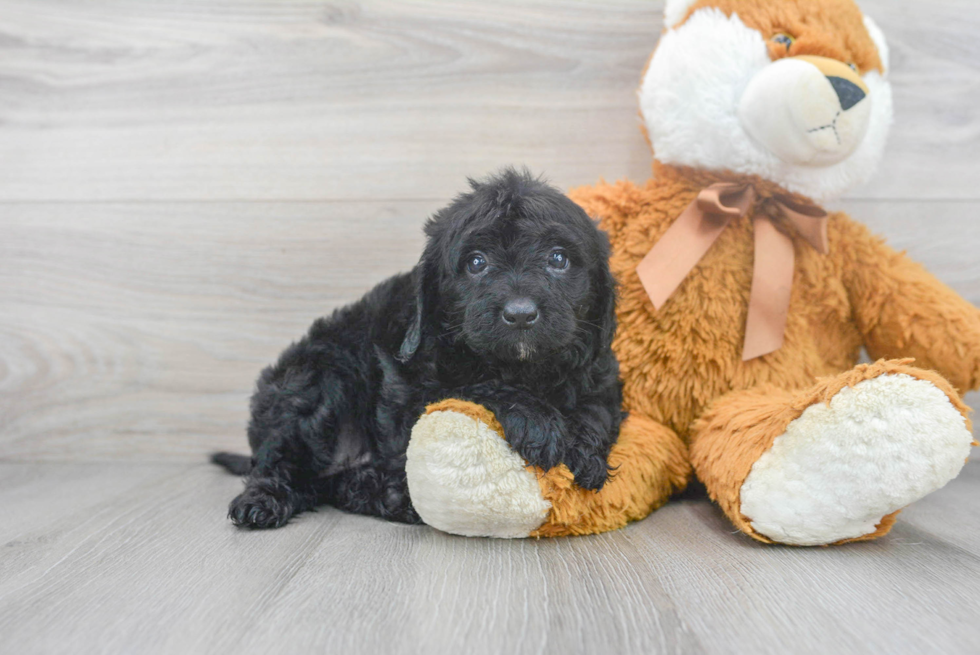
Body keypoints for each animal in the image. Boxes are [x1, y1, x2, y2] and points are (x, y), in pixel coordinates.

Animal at [213, 168, 620, 528]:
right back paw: (264, 500)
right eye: (476, 263)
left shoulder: (601, 371)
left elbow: (597, 405)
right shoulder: (410, 392)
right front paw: (538, 423)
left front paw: (584, 448)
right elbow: (474, 387)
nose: (520, 314)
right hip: (314, 377)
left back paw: (389, 495)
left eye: (558, 258)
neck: (521, 367)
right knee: (281, 461)